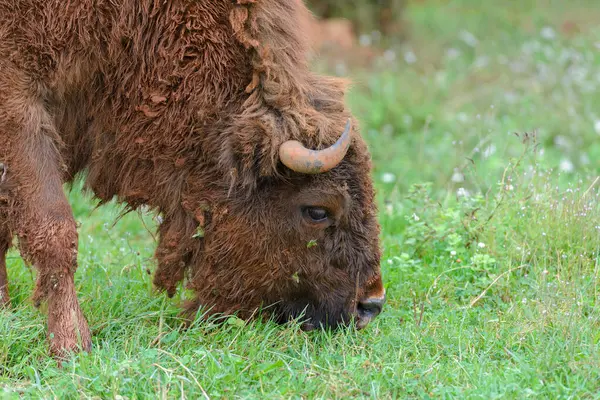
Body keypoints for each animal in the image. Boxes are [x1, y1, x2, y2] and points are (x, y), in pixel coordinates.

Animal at [0, 0, 384, 356]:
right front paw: (72, 343)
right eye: (317, 210)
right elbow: (55, 229)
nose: (371, 305)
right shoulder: (20, 102)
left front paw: (5, 310)